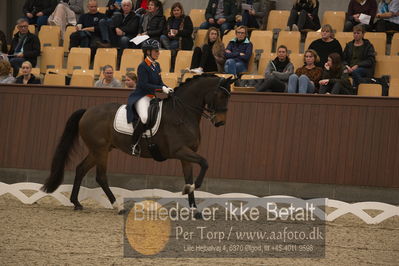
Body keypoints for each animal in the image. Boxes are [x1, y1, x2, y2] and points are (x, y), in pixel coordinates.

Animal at [40, 74, 234, 214]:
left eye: (228, 96)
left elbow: (190, 176)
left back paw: (77, 203)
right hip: (100, 150)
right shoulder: (179, 151)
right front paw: (189, 190)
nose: (221, 122)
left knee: (81, 169)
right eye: (221, 95)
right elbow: (205, 163)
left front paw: (194, 208)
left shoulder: (187, 153)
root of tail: (87, 111)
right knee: (100, 176)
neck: (182, 113)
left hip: (99, 150)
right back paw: (118, 206)